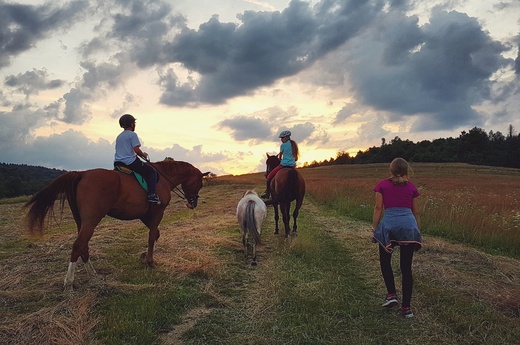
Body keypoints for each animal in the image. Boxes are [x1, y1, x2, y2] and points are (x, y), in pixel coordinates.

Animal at [22, 160, 209, 288]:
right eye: (199, 183)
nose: (193, 203)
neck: (162, 177)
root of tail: (82, 174)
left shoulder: (146, 216)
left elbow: (155, 234)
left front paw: (144, 256)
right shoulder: (157, 213)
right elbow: (152, 236)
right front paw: (149, 261)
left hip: (81, 221)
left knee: (83, 246)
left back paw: (92, 273)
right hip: (91, 220)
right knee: (78, 245)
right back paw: (69, 282)